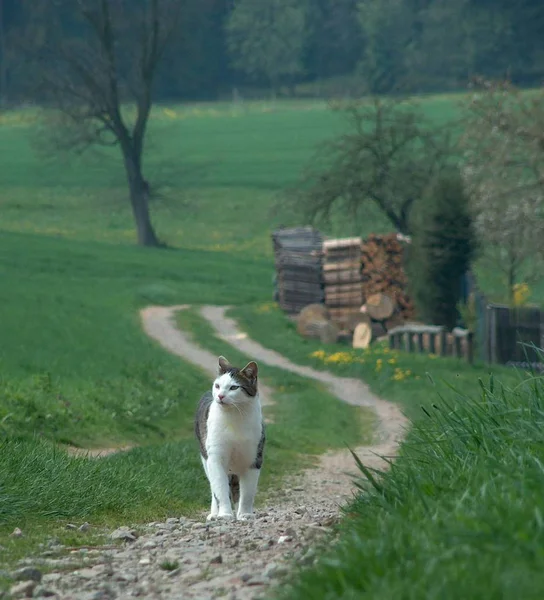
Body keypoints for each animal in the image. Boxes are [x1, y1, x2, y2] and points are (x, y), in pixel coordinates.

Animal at [193, 356, 266, 520]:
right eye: (218, 386)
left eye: (234, 387)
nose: (220, 396)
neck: (234, 418)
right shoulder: (215, 457)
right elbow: (220, 489)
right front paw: (225, 514)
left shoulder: (253, 459)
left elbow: (248, 492)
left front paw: (245, 514)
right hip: (205, 458)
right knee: (214, 488)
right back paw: (214, 514)